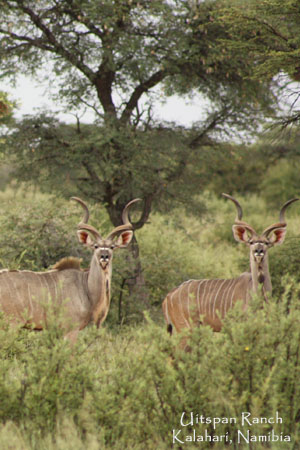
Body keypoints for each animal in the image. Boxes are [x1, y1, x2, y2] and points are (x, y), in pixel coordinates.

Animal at [0, 197, 139, 342]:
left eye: (112, 247)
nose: (104, 256)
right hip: (11, 325)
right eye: (95, 246)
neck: (86, 287)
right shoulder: (71, 330)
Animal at [163, 195, 296, 336]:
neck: (257, 293)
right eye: (251, 242)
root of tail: (168, 296)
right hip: (186, 329)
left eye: (266, 243)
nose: (258, 251)